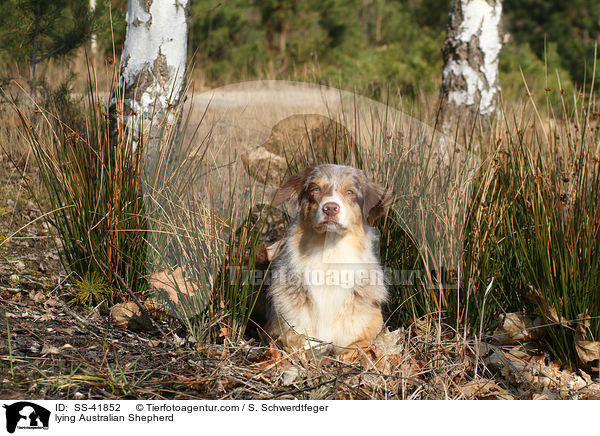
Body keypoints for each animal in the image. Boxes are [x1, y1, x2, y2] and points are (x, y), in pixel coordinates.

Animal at [268, 165, 394, 356]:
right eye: (316, 189)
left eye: (350, 192)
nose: (330, 208)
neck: (329, 254)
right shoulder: (282, 328)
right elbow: (295, 343)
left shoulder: (368, 329)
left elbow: (355, 346)